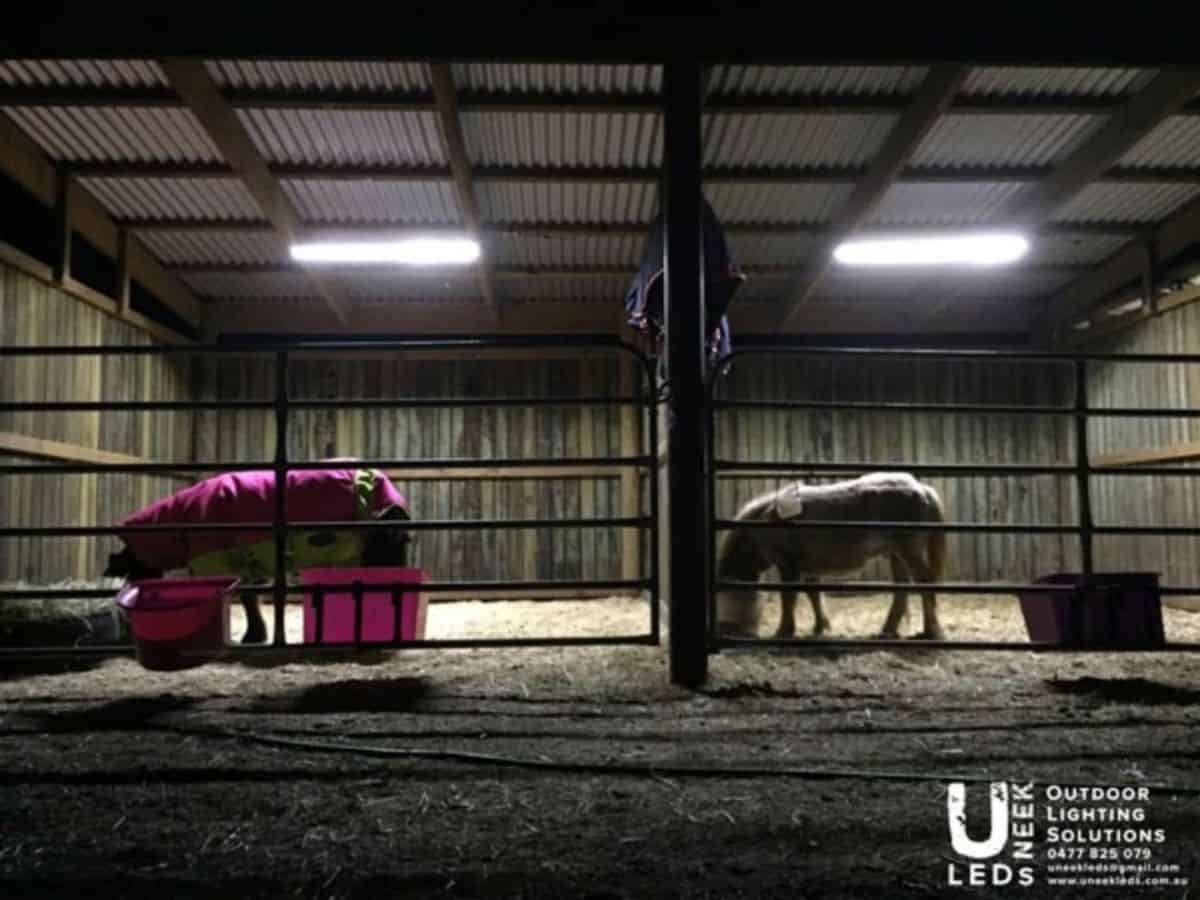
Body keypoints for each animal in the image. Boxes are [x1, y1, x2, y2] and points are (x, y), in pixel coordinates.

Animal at [105, 465, 412, 648]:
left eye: (133, 565)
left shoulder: (219, 560)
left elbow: (244, 596)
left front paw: (250, 636)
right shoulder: (254, 561)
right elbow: (252, 596)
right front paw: (258, 635)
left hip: (370, 553)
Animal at [710, 472, 945, 643]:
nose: (726, 630)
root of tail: (923, 489)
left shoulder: (788, 564)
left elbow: (789, 597)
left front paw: (784, 631)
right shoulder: (807, 568)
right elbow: (813, 594)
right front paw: (820, 626)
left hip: (909, 551)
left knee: (924, 582)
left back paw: (930, 632)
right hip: (897, 555)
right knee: (901, 590)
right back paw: (888, 631)